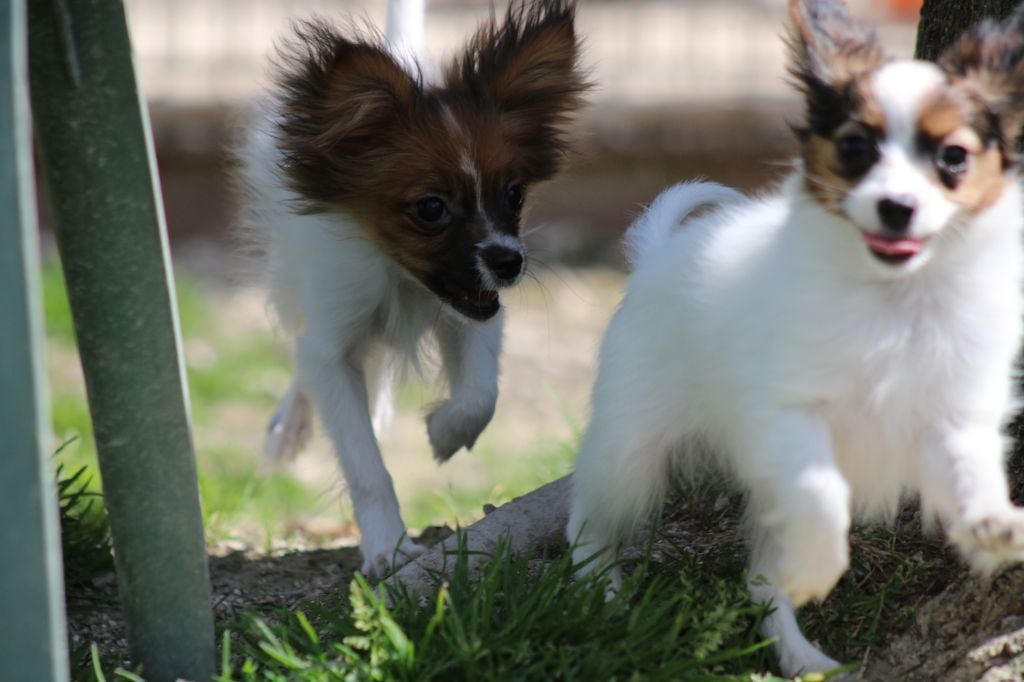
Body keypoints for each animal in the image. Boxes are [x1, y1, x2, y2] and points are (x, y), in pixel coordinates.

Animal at [239, 0, 589, 577]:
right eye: (430, 209)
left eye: (514, 195)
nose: (510, 262)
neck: (399, 276)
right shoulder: (333, 337)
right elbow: (363, 461)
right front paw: (389, 547)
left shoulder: (475, 307)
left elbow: (479, 396)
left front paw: (444, 434)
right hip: (292, 279)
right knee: (305, 357)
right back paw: (289, 426)